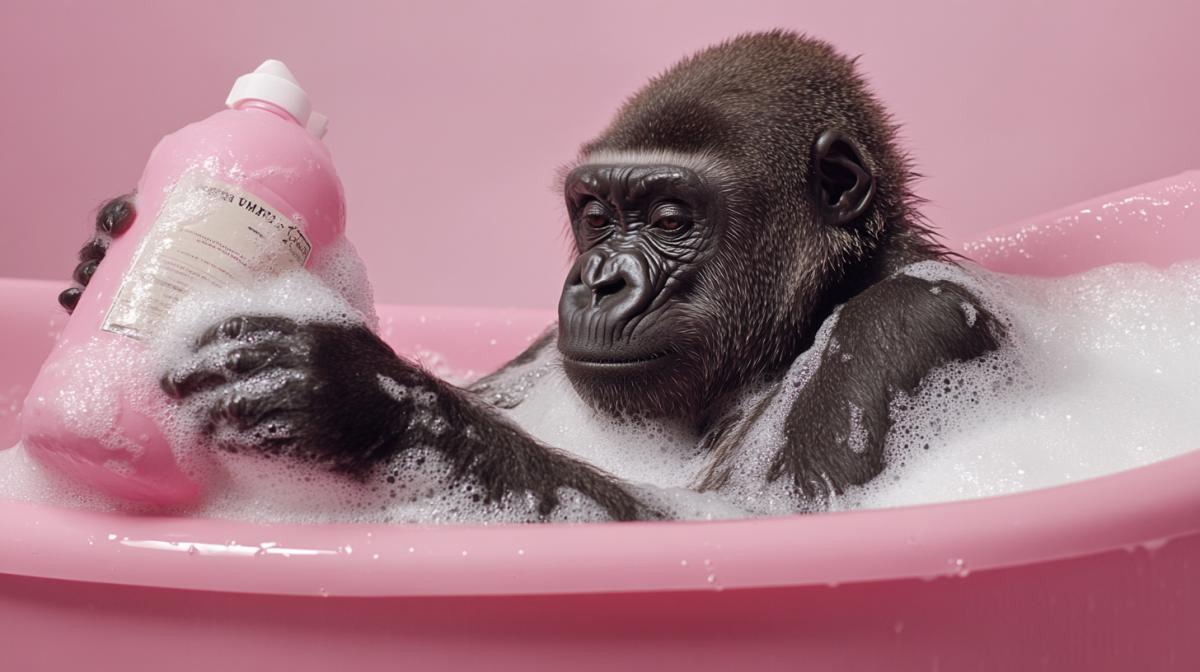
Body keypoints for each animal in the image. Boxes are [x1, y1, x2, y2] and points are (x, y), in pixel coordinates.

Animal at [55, 31, 1002, 521]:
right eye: (595, 215)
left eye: (670, 220)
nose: (599, 280)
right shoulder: (547, 344)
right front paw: (101, 259)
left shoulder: (909, 320)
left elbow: (771, 519)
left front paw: (362, 398)